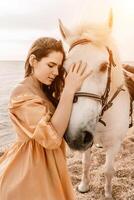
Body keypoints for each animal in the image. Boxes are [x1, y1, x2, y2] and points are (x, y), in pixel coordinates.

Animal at [58, 11, 130, 200]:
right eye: (64, 69)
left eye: (104, 66)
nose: (75, 138)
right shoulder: (87, 141)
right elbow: (85, 163)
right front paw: (84, 186)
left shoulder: (113, 144)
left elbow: (108, 170)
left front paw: (108, 194)